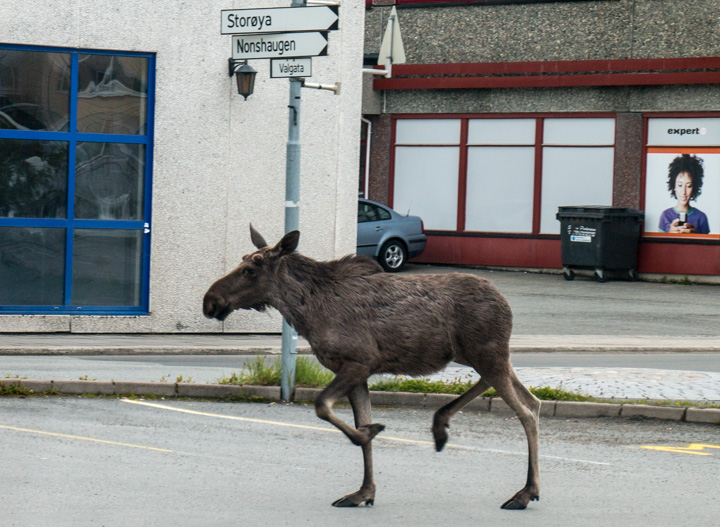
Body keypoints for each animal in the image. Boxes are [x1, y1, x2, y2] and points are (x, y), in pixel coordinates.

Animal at [202, 227, 540, 512]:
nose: (210, 301)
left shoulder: (358, 362)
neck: (308, 313)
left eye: (251, 268)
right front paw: (364, 491)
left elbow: (323, 407)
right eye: (243, 261)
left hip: (486, 352)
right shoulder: (357, 373)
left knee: (524, 412)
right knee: (528, 398)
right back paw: (441, 425)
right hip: (477, 354)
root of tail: (505, 303)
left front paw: (370, 434)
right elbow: (358, 421)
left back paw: (525, 492)